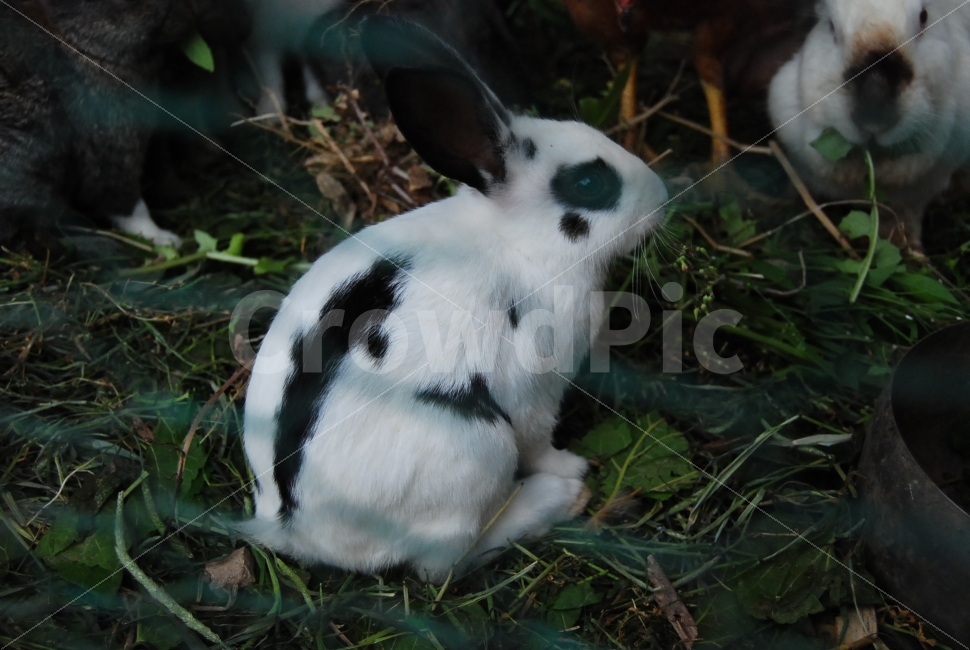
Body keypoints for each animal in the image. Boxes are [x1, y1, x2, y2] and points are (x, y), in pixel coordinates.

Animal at [239, 16, 668, 581]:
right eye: (590, 182)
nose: (663, 197)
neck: (514, 240)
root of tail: (294, 529)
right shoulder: (534, 392)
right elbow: (539, 441)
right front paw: (572, 467)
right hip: (478, 450)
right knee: (446, 563)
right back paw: (555, 498)